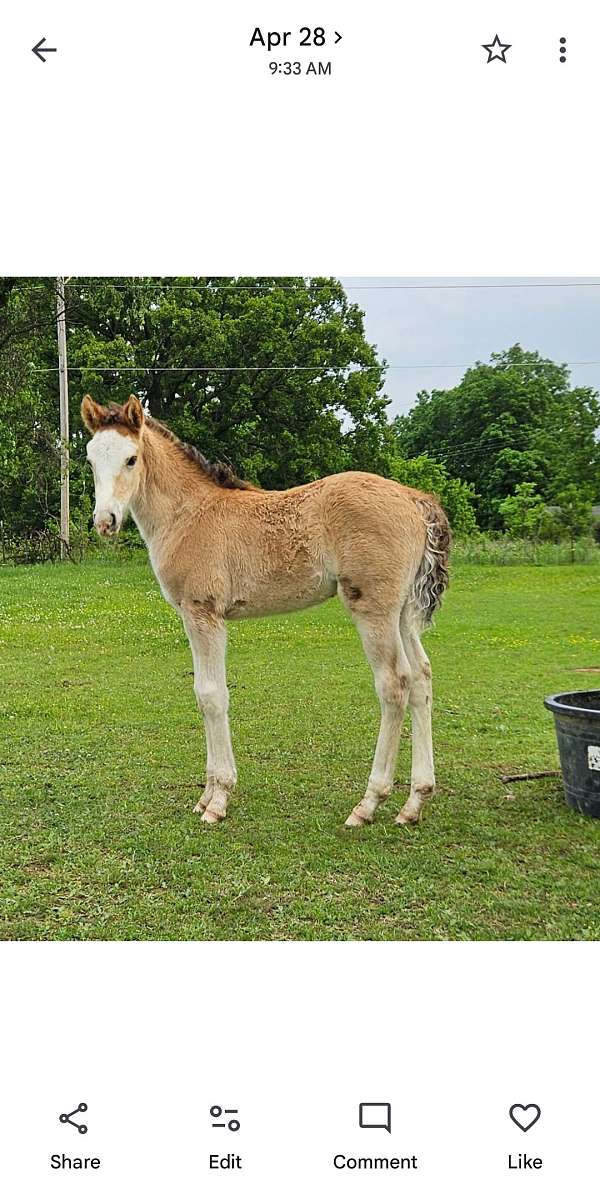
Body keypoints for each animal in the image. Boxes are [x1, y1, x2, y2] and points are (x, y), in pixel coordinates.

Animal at [82, 394, 450, 827]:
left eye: (131, 459)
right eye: (90, 458)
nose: (105, 521)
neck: (189, 514)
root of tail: (415, 499)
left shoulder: (203, 613)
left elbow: (212, 695)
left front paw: (218, 800)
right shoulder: (194, 616)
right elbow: (201, 692)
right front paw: (205, 796)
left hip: (373, 607)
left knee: (395, 684)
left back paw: (368, 803)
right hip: (404, 612)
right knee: (422, 678)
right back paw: (414, 802)